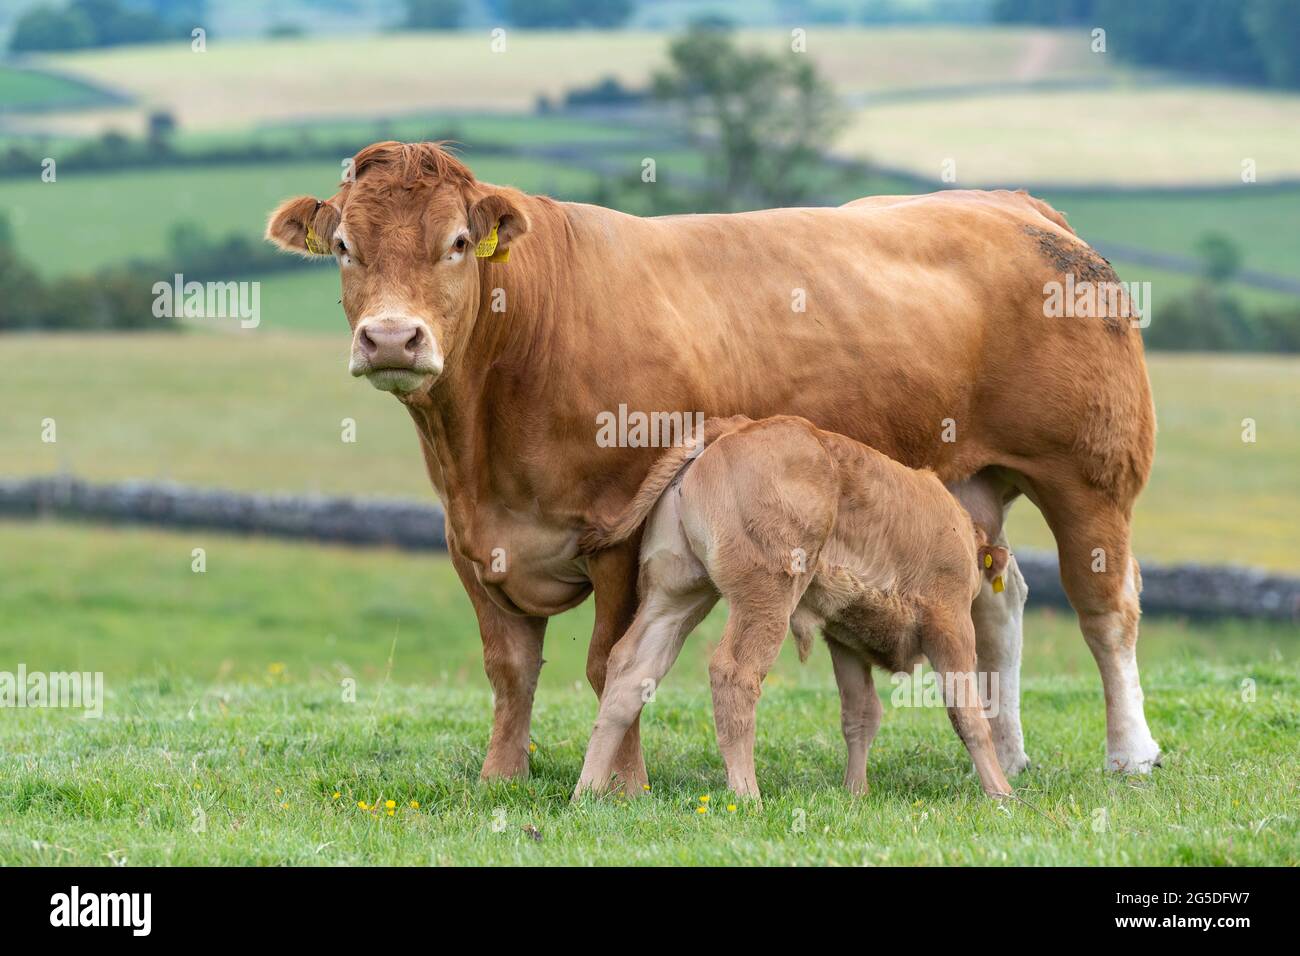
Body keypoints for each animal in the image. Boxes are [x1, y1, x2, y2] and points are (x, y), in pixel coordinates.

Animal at [572, 414, 1014, 802]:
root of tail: (733, 427)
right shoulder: (950, 623)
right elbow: (969, 714)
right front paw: (1002, 795)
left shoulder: (845, 638)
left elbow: (860, 715)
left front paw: (855, 793)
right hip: (767, 597)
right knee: (735, 674)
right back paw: (748, 796)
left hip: (676, 596)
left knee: (629, 671)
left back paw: (586, 793)